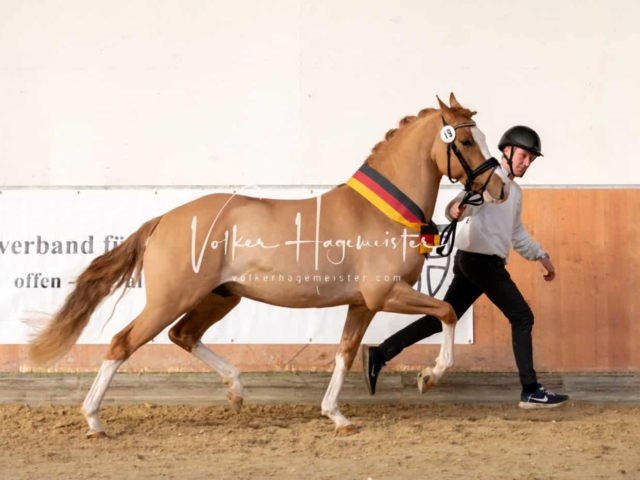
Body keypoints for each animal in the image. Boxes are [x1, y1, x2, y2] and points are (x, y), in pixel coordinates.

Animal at [28, 94, 510, 438]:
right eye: (467, 141)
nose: (501, 188)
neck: (383, 213)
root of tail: (164, 219)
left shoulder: (361, 304)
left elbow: (345, 352)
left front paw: (336, 416)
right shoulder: (385, 294)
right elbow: (447, 312)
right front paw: (431, 375)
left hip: (221, 298)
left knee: (183, 335)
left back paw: (237, 391)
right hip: (171, 299)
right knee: (121, 343)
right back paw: (94, 420)